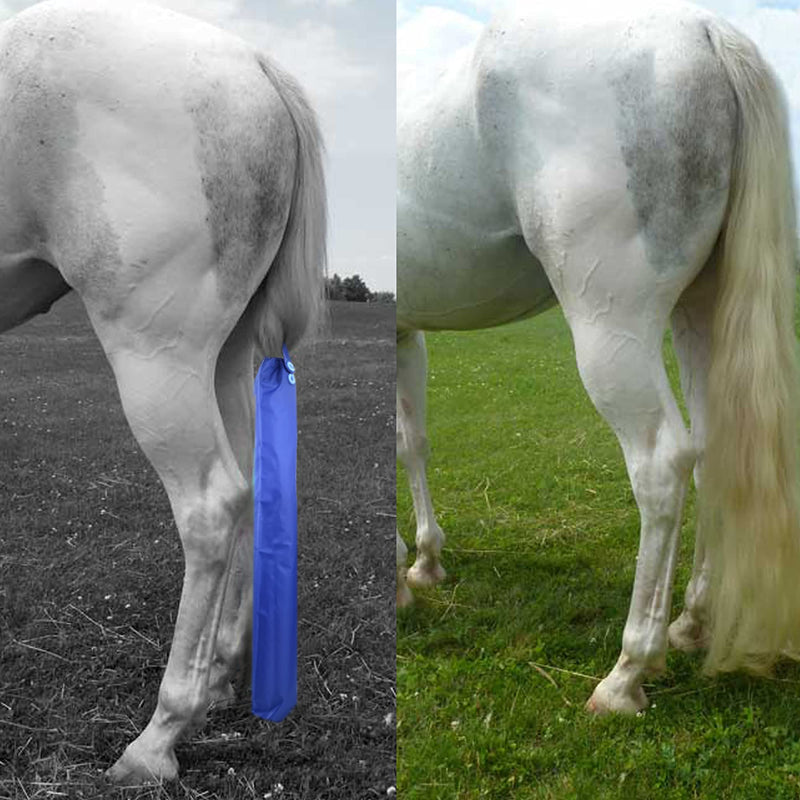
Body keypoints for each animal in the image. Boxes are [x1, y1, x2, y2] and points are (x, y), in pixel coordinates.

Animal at [0, 0, 325, 783]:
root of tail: (255, 66)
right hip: (224, 359)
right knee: (253, 486)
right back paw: (219, 677)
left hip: (157, 357)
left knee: (211, 505)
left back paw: (159, 736)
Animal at [396, 0, 800, 714]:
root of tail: (705, 31)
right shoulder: (405, 332)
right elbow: (411, 442)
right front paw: (425, 561)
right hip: (699, 318)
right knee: (713, 454)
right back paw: (692, 623)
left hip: (613, 331)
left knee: (661, 465)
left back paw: (626, 674)